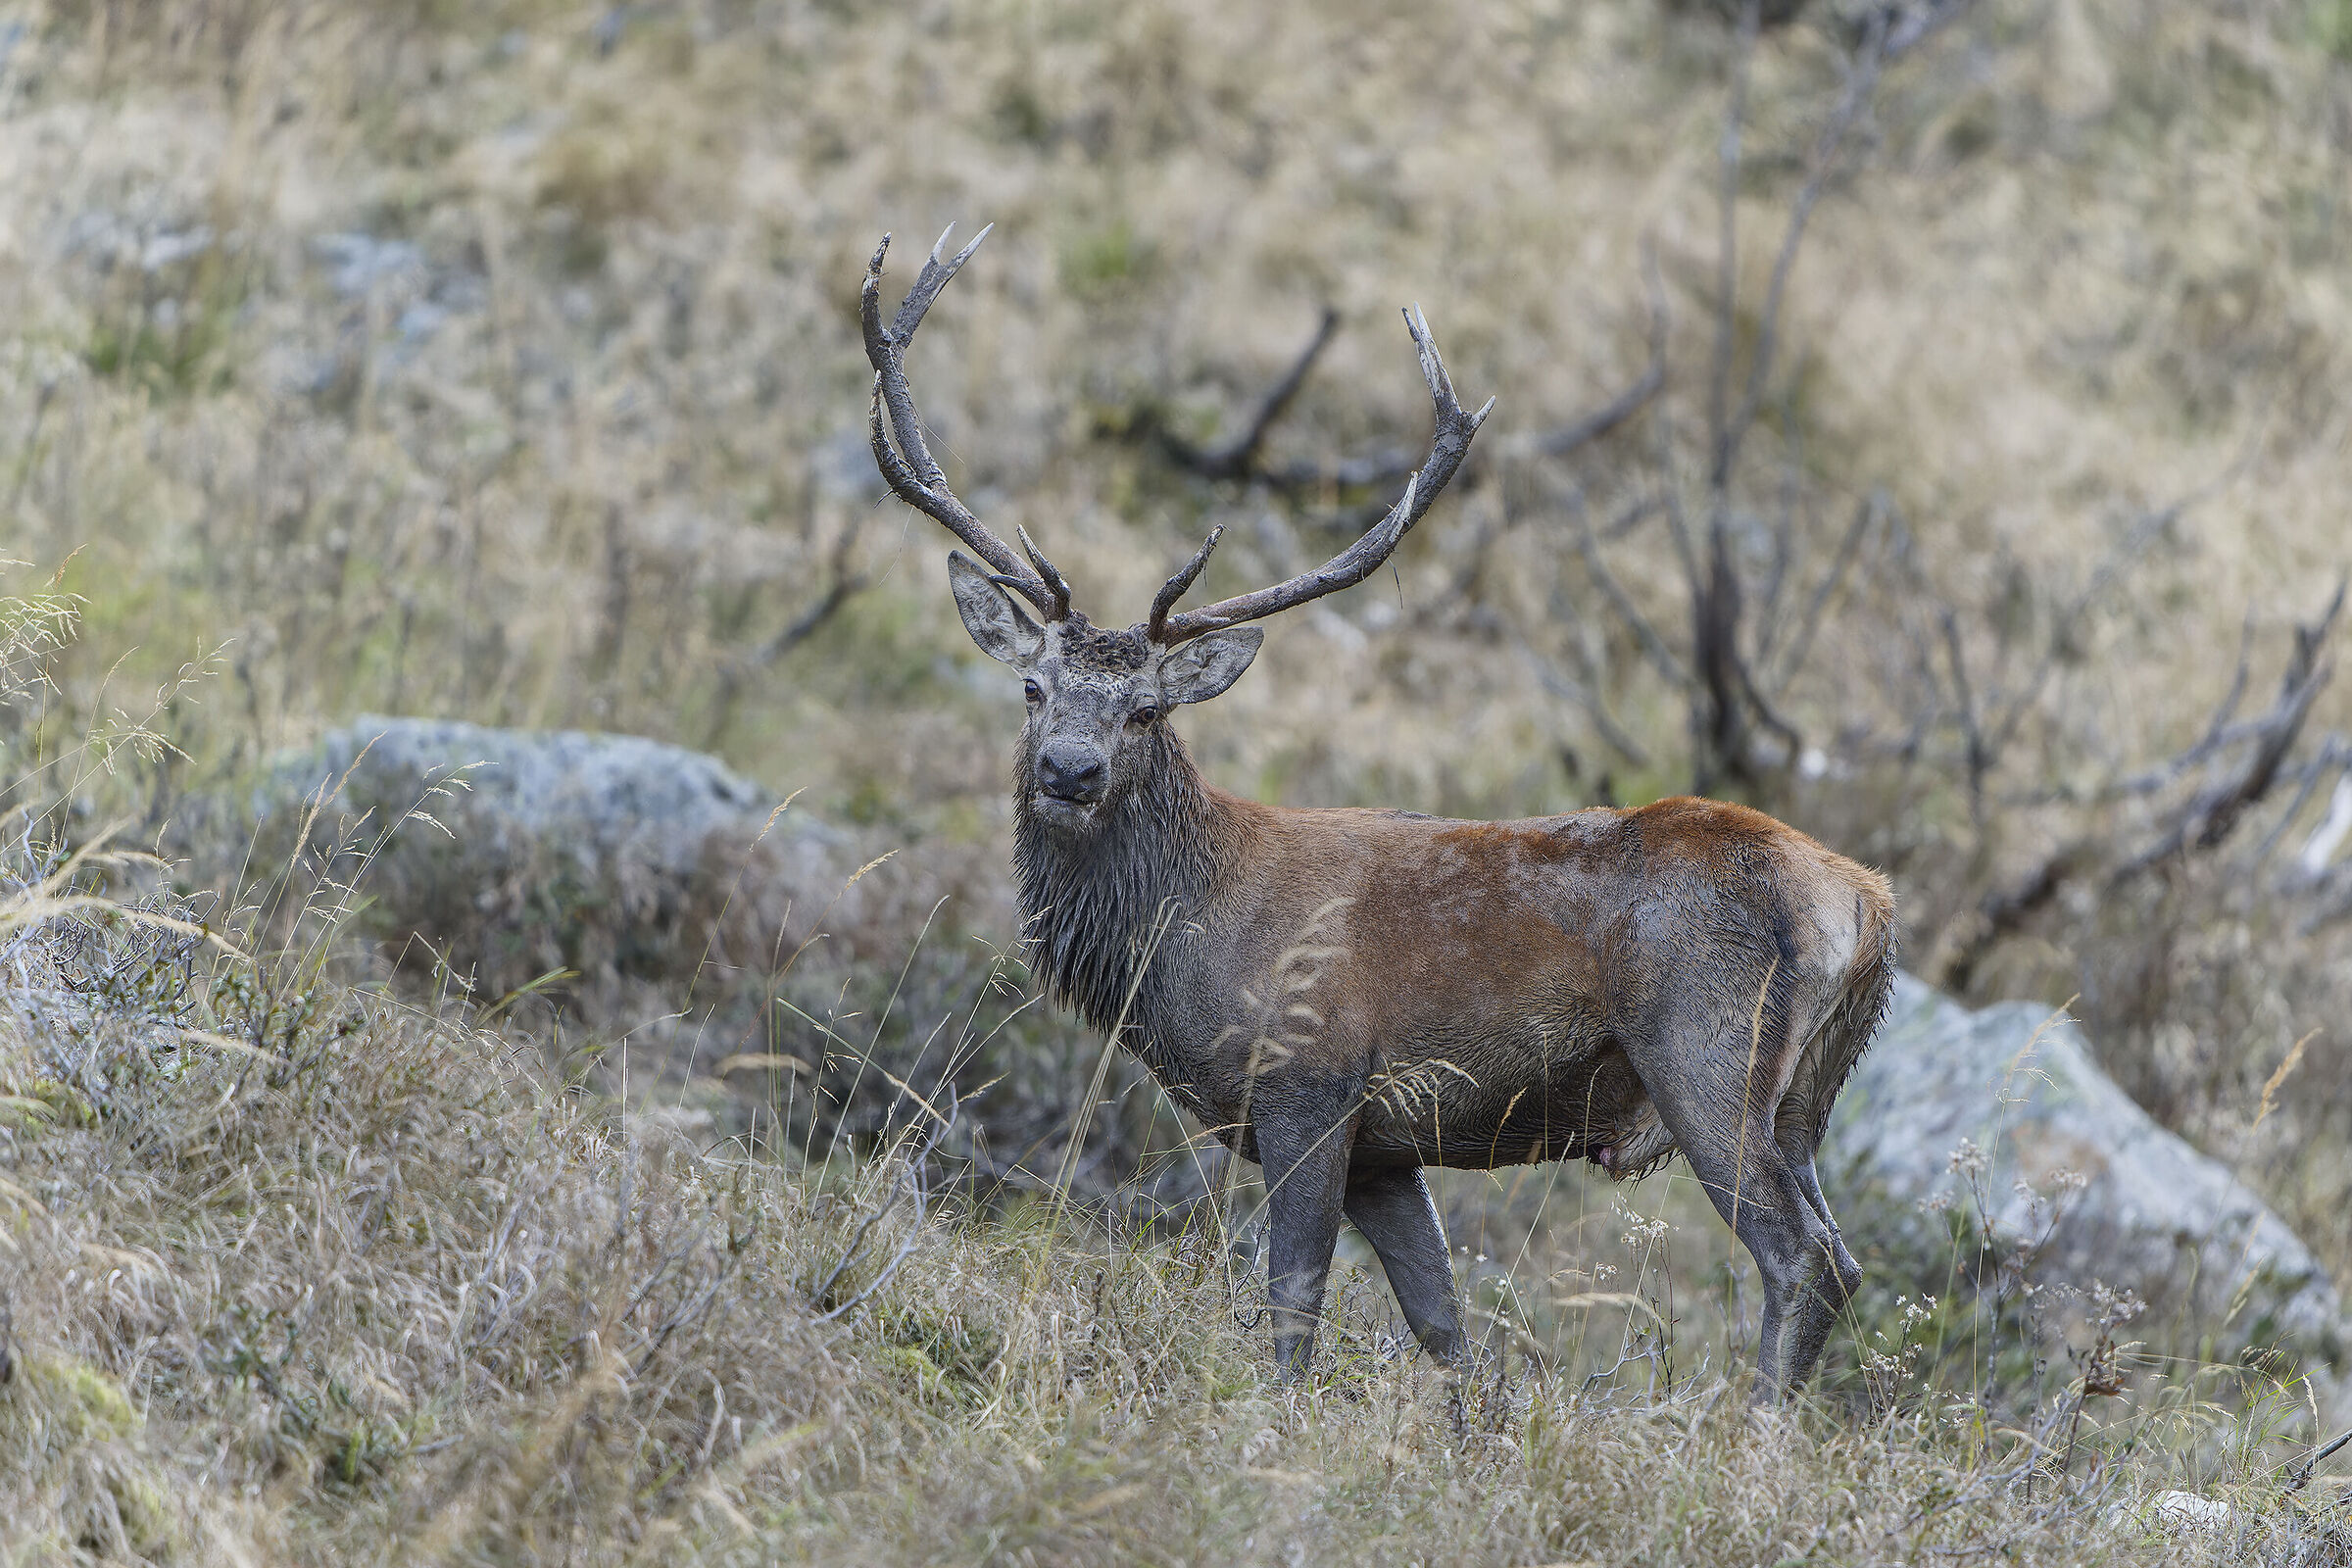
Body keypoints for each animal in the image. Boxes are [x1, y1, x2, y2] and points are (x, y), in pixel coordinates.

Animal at [861, 225, 1898, 1398]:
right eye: (1034, 687)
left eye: (1144, 710)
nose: (1070, 770)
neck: (1183, 941)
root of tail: (1868, 905)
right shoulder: (1388, 1149)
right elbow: (1444, 1327)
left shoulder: (1311, 1084)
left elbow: (1293, 1303)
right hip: (1806, 1099)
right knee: (1843, 1254)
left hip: (1709, 1053)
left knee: (1799, 1256)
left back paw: (1747, 1426)